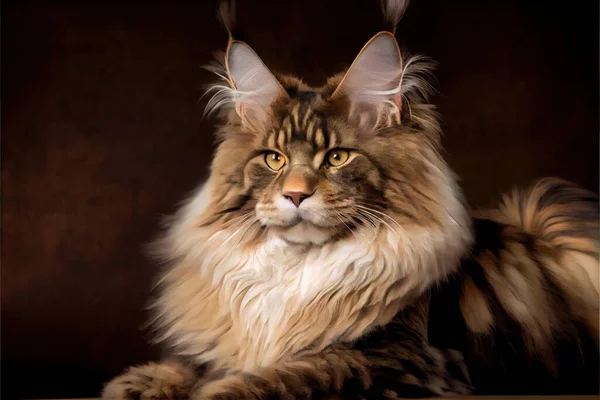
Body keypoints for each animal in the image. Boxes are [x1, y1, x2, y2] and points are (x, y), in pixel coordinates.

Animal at [101, 1, 596, 398]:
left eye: (337, 157)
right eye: (275, 159)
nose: (295, 194)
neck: (299, 268)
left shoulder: (403, 361)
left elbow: (288, 375)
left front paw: (215, 392)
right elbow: (200, 364)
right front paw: (142, 382)